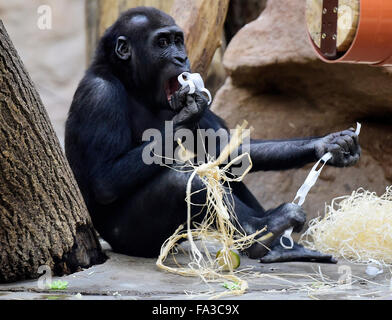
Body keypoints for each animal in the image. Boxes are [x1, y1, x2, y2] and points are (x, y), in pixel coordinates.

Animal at [65, 6, 362, 262]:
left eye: (178, 40)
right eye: (162, 43)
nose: (181, 57)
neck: (133, 84)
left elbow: (229, 150)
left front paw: (329, 145)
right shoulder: (99, 95)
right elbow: (105, 178)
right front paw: (187, 114)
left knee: (222, 170)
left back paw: (279, 245)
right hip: (133, 239)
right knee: (183, 181)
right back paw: (266, 228)